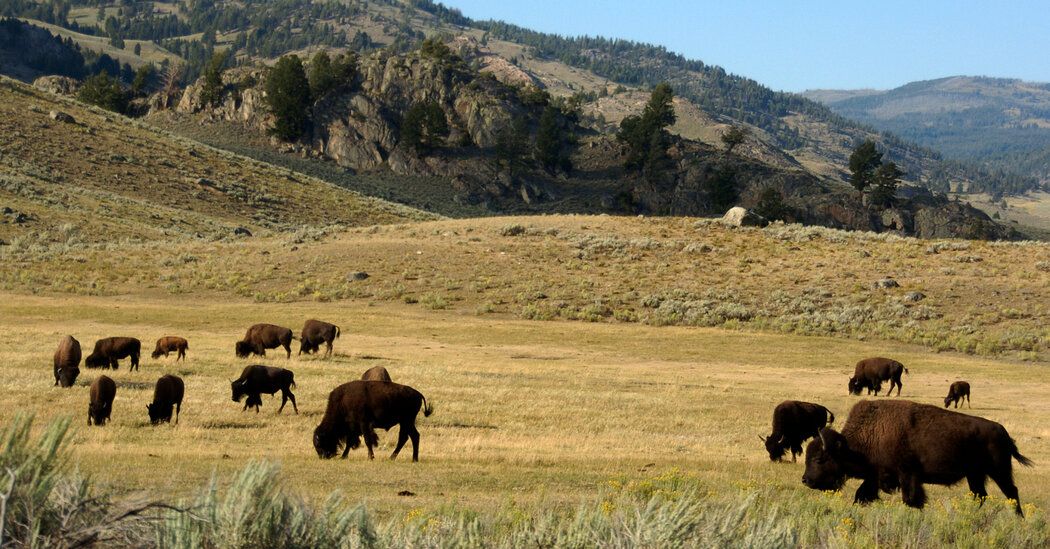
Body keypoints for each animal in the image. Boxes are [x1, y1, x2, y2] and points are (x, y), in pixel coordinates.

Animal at [802, 398, 1033, 516]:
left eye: (820, 459)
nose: (806, 480)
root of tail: (1003, 432)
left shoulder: (908, 475)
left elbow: (911, 499)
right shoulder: (875, 476)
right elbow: (862, 495)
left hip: (999, 471)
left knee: (1011, 492)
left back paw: (1018, 518)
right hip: (975, 475)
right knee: (980, 495)